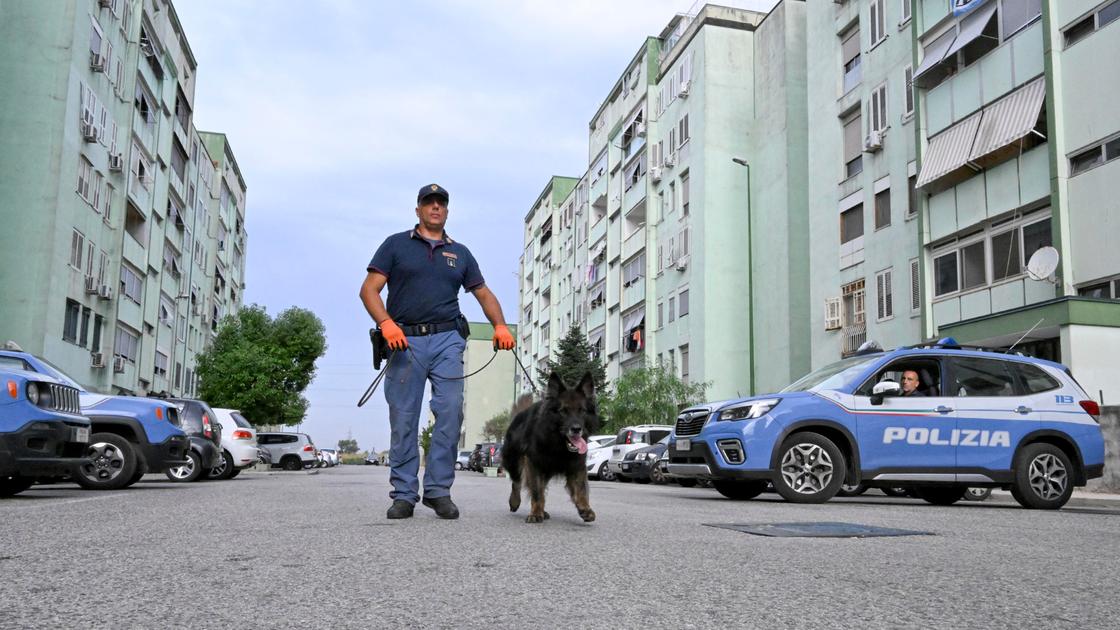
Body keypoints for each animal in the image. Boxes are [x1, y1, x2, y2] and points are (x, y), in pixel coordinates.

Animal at [504, 369, 600, 522]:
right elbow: (536, 491)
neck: (557, 444)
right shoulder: (534, 464)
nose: (576, 429)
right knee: (517, 482)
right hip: (514, 462)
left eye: (582, 410)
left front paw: (585, 508)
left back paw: (543, 511)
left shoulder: (577, 465)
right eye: (563, 411)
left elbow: (581, 488)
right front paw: (535, 513)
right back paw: (515, 502)